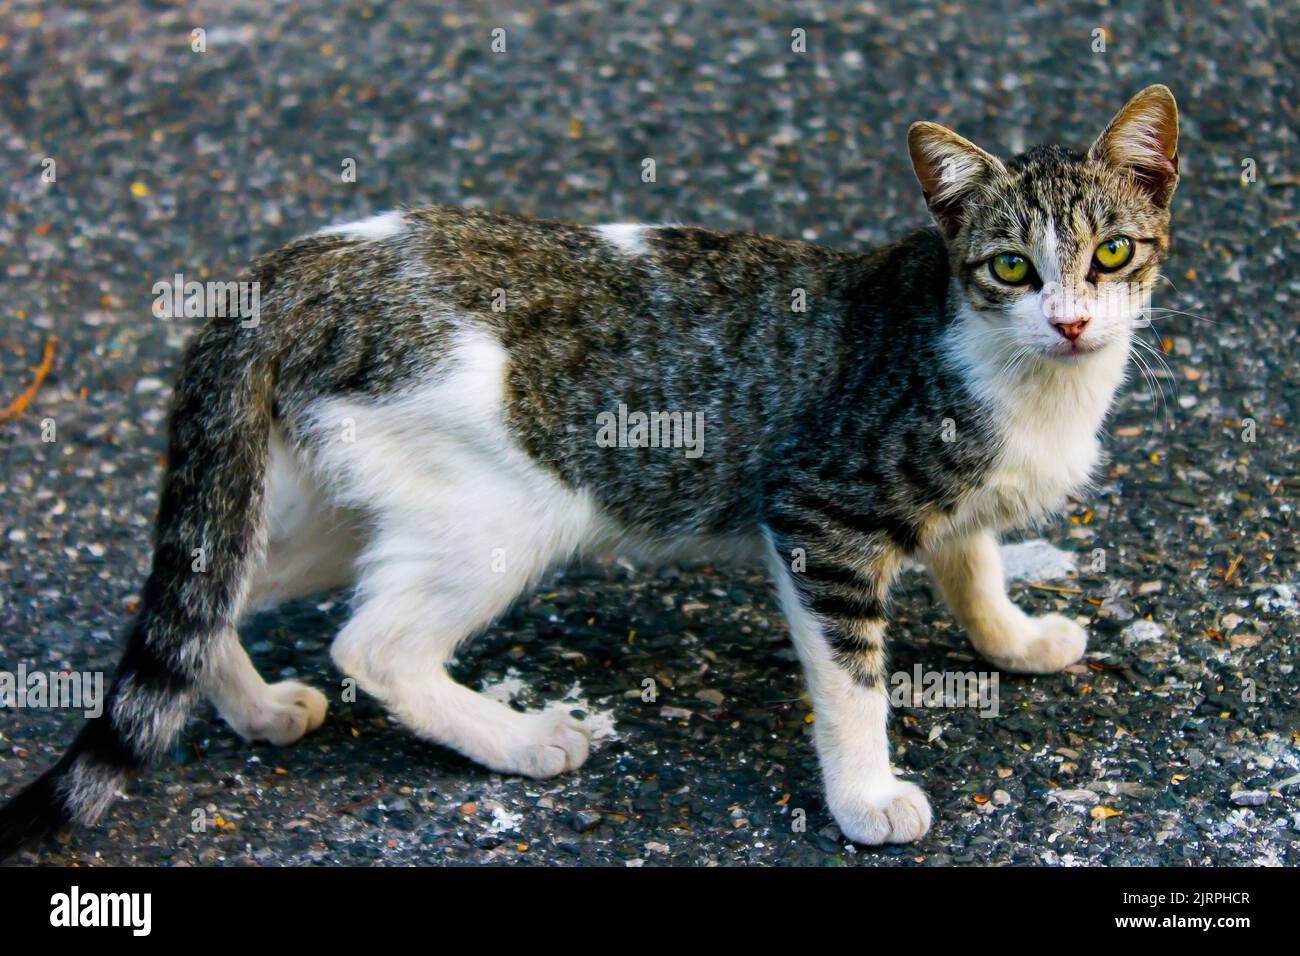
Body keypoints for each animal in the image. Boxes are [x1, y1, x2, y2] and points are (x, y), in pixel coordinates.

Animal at [0, 85, 1180, 858]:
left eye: (1112, 253)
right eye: (1010, 267)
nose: (1071, 320)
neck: (1030, 381)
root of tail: (292, 266)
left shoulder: (954, 507)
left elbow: (972, 566)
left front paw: (1014, 640)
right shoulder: (819, 513)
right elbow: (853, 681)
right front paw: (865, 796)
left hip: (319, 499)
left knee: (207, 592)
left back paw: (254, 708)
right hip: (506, 511)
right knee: (371, 644)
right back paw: (520, 741)